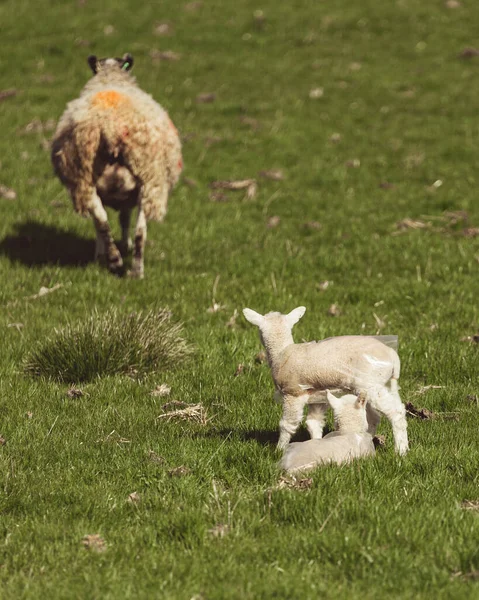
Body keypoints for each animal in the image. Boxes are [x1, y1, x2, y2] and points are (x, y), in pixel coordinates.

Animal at [50, 52, 182, 278]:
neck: (111, 76)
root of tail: (110, 127)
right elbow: (123, 221)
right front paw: (118, 248)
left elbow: (110, 222)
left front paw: (102, 253)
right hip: (150, 182)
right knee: (137, 231)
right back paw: (131, 267)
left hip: (86, 181)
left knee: (104, 222)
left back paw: (117, 262)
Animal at [244, 308, 408, 452]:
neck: (282, 352)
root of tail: (393, 356)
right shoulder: (317, 396)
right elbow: (314, 423)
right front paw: (316, 445)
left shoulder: (293, 393)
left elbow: (287, 424)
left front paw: (280, 450)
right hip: (377, 386)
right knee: (375, 417)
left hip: (371, 383)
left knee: (396, 413)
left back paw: (401, 451)